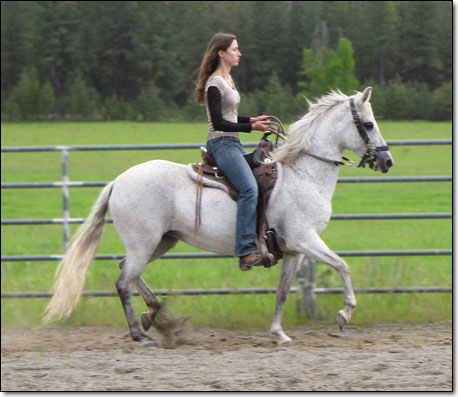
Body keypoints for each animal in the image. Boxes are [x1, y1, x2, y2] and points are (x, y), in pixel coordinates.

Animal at [43, 86, 394, 344]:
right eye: (368, 124)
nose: (387, 161)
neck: (303, 174)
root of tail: (118, 181)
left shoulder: (294, 251)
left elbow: (283, 293)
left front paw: (279, 333)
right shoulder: (305, 239)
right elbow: (342, 266)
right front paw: (344, 315)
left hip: (162, 241)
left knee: (126, 271)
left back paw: (152, 314)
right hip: (145, 242)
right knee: (123, 281)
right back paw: (139, 333)